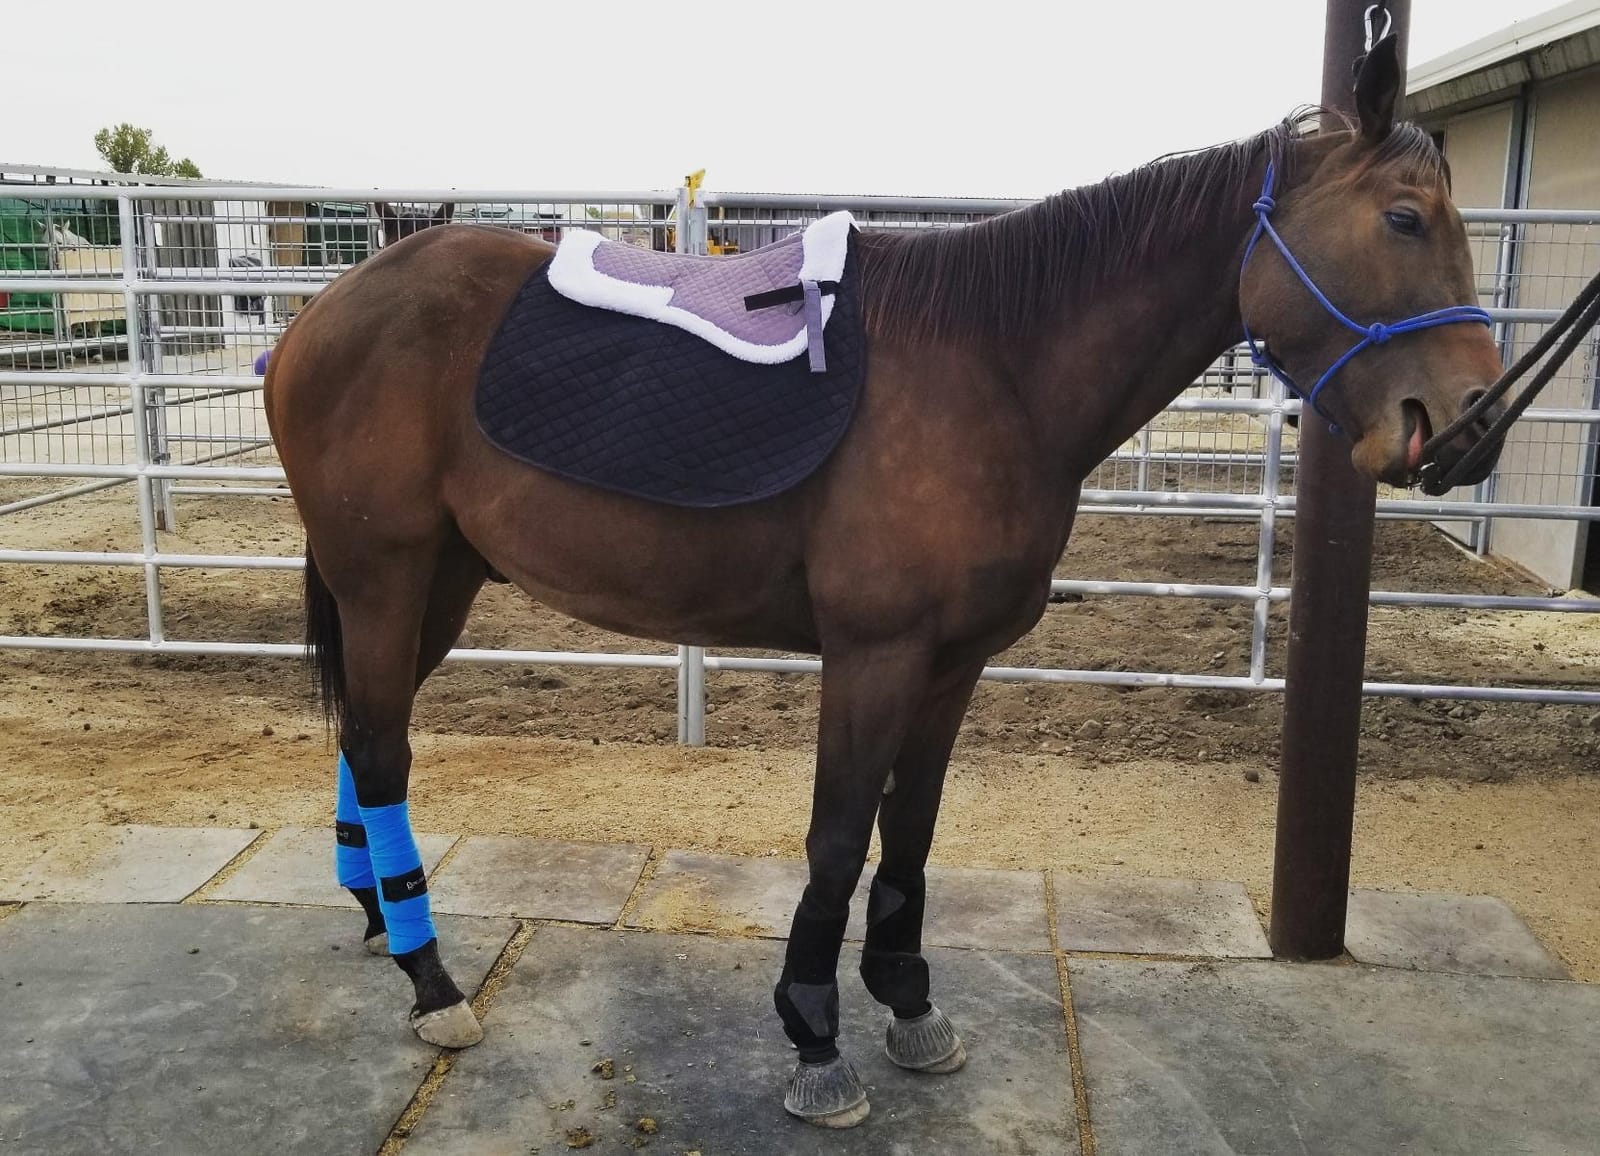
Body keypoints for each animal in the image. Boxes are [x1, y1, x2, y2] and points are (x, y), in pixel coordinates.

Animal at [264, 40, 1505, 1128]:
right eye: (1403, 218)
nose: (1468, 428)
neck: (995, 367)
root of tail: (330, 305)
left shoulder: (953, 661)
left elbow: (910, 828)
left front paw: (908, 1004)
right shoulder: (875, 653)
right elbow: (837, 834)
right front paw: (814, 1037)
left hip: (440, 580)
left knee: (367, 737)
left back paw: (379, 918)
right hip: (385, 575)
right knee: (382, 746)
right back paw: (433, 982)